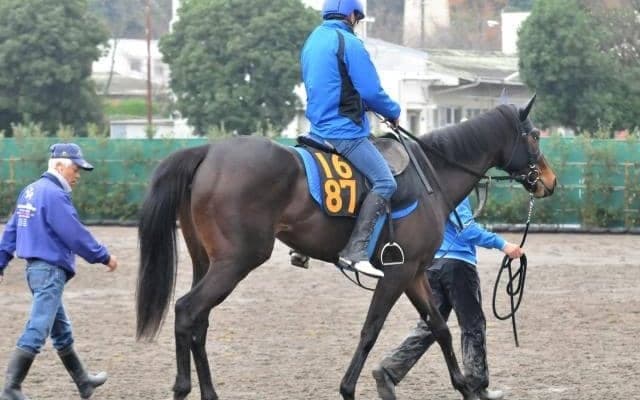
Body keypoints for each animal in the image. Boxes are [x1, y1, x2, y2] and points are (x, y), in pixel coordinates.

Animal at [136, 96, 557, 400]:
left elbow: (439, 328)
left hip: (207, 262)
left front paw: (466, 387)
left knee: (199, 321)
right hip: (236, 262)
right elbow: (371, 329)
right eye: (534, 135)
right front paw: (348, 388)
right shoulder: (398, 273)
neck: (431, 176)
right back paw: (184, 388)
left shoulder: (415, 274)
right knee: (187, 311)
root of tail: (207, 152)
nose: (549, 180)